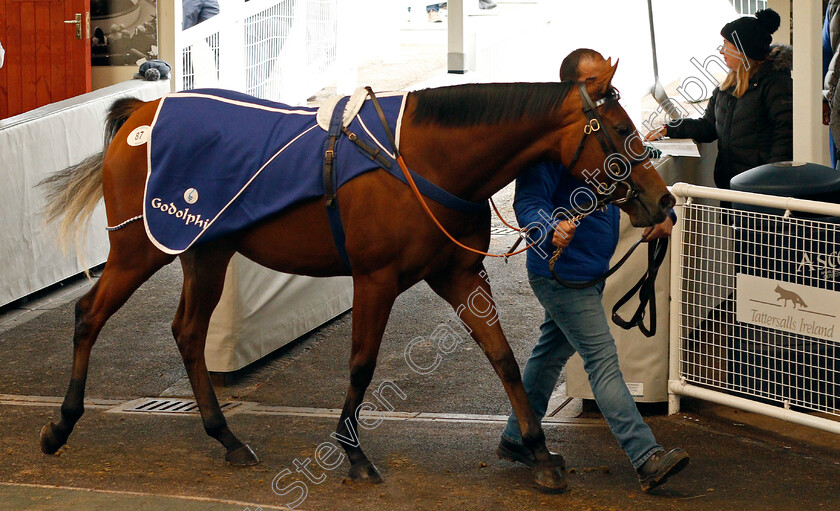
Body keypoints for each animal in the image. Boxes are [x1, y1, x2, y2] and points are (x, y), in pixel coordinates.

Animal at [37, 59, 676, 492]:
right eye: (622, 131)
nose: (663, 201)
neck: (420, 159)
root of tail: (141, 114)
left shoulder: (460, 274)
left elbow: (504, 359)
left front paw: (540, 454)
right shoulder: (375, 278)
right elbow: (362, 364)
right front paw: (353, 454)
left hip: (206, 252)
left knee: (190, 334)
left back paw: (229, 438)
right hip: (139, 248)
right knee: (89, 314)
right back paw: (60, 426)